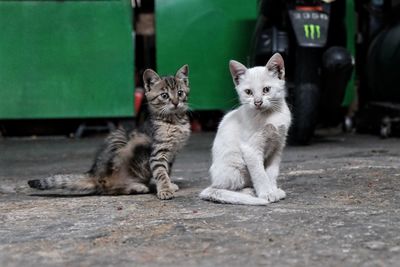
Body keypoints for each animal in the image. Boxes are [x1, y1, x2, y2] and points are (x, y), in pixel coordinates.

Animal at [28, 65, 191, 200]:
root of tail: (94, 173)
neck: (175, 121)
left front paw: (169, 185)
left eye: (180, 93)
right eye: (164, 96)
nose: (176, 102)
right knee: (106, 187)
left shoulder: (171, 154)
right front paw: (165, 190)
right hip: (118, 141)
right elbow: (160, 172)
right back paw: (136, 184)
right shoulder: (157, 152)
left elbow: (166, 170)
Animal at [199, 53, 290, 206]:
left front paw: (273, 190)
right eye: (248, 92)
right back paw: (249, 192)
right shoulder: (251, 149)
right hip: (236, 168)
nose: (258, 102)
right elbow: (260, 174)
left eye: (266, 90)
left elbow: (271, 172)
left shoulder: (277, 146)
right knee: (218, 189)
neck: (269, 116)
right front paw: (266, 194)